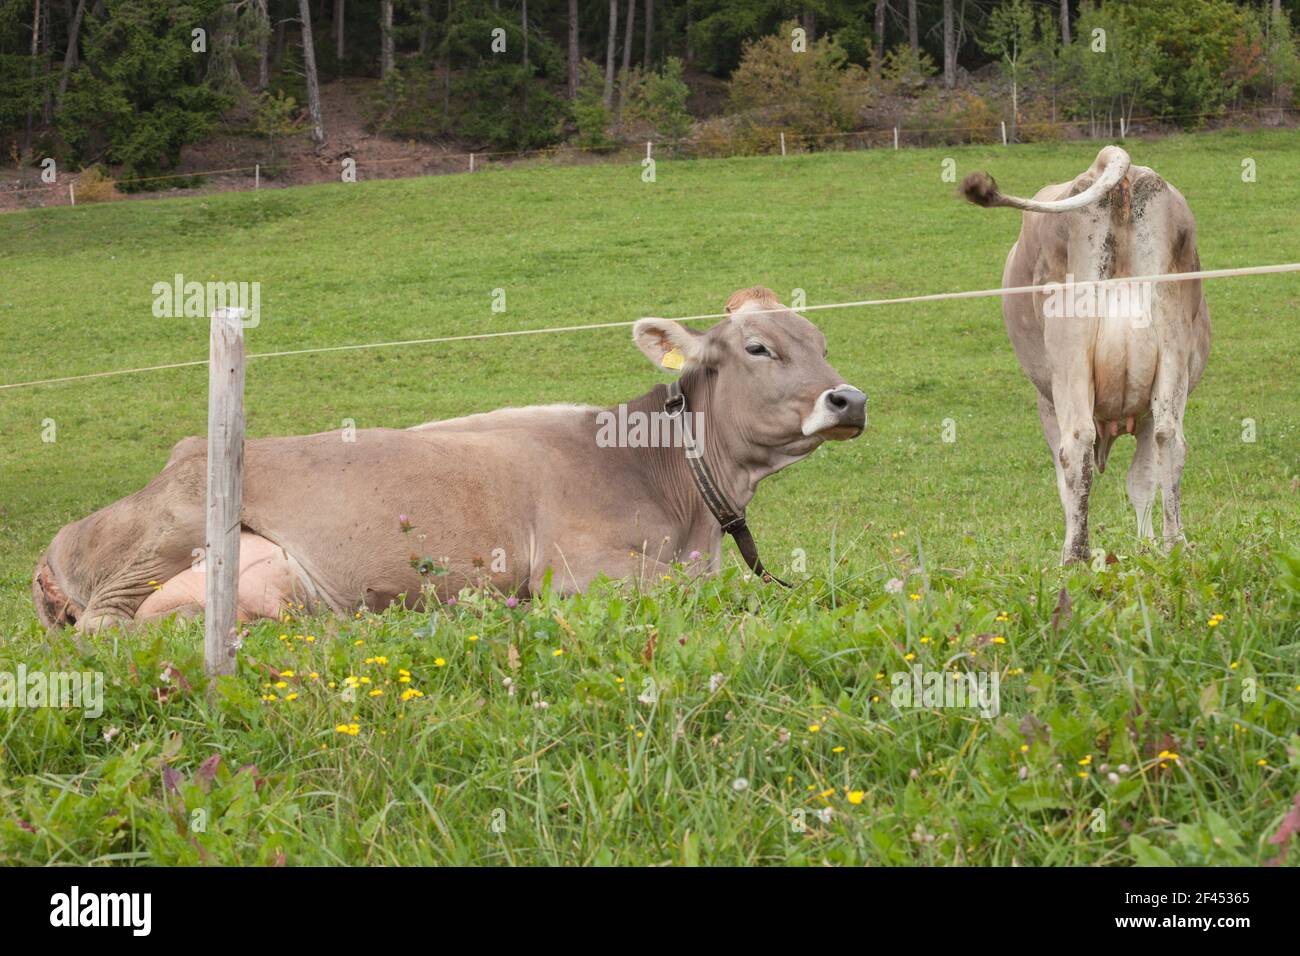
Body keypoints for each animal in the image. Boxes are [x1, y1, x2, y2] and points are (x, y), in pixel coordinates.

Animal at [32, 287, 867, 633]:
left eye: (823, 342)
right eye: (758, 347)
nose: (848, 399)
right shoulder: (582, 571)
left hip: (279, 584)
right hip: (171, 535)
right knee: (105, 630)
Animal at [960, 145, 1211, 564]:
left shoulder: (1046, 403)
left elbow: (1069, 484)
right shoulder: (1146, 411)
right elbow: (1144, 478)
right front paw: (1148, 548)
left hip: (1069, 350)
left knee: (1076, 443)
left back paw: (1075, 555)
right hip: (1173, 337)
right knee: (1171, 440)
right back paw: (1176, 545)